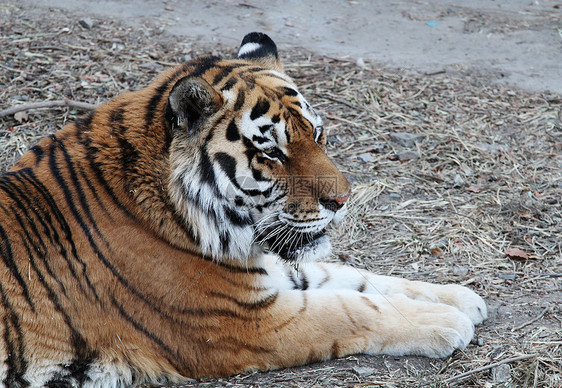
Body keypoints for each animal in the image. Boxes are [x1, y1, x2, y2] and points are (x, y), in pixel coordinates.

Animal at [0, 31, 484, 386]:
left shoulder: (264, 272)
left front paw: (462, 297)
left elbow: (357, 279)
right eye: (272, 153)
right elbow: (349, 309)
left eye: (318, 134)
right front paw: (447, 320)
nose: (342, 201)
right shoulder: (247, 322)